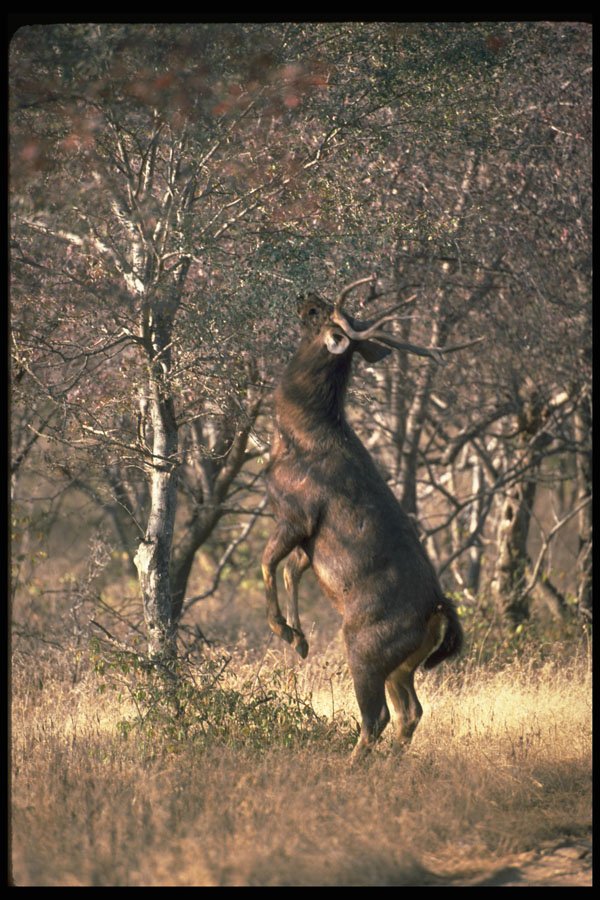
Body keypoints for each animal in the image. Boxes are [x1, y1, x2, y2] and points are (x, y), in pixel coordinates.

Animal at [262, 275, 477, 762]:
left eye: (319, 314)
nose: (305, 294)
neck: (295, 436)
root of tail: (438, 610)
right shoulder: (308, 544)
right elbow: (290, 571)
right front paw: (300, 640)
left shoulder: (297, 513)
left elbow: (268, 564)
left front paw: (282, 630)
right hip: (402, 662)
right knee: (410, 711)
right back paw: (390, 764)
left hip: (365, 645)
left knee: (376, 716)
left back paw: (351, 765)